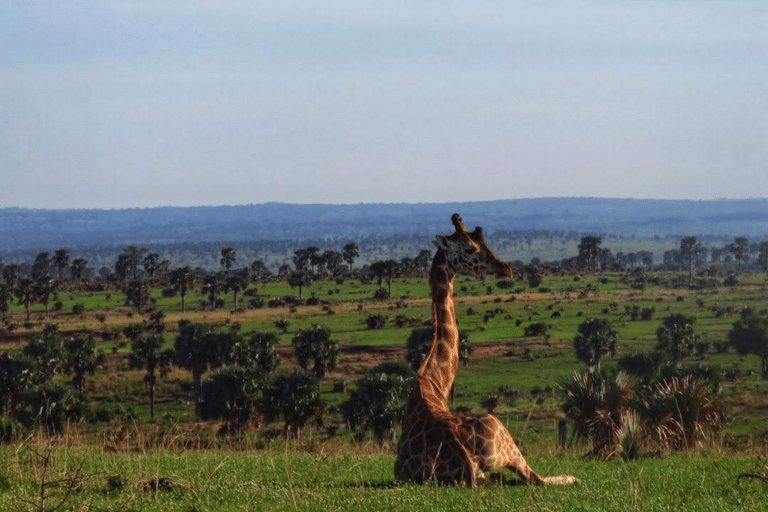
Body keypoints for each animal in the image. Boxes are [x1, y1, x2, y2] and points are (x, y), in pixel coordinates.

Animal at [392, 213, 580, 488]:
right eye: (471, 248)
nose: (506, 268)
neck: (431, 383)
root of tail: (466, 462)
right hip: (502, 432)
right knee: (536, 478)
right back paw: (573, 476)